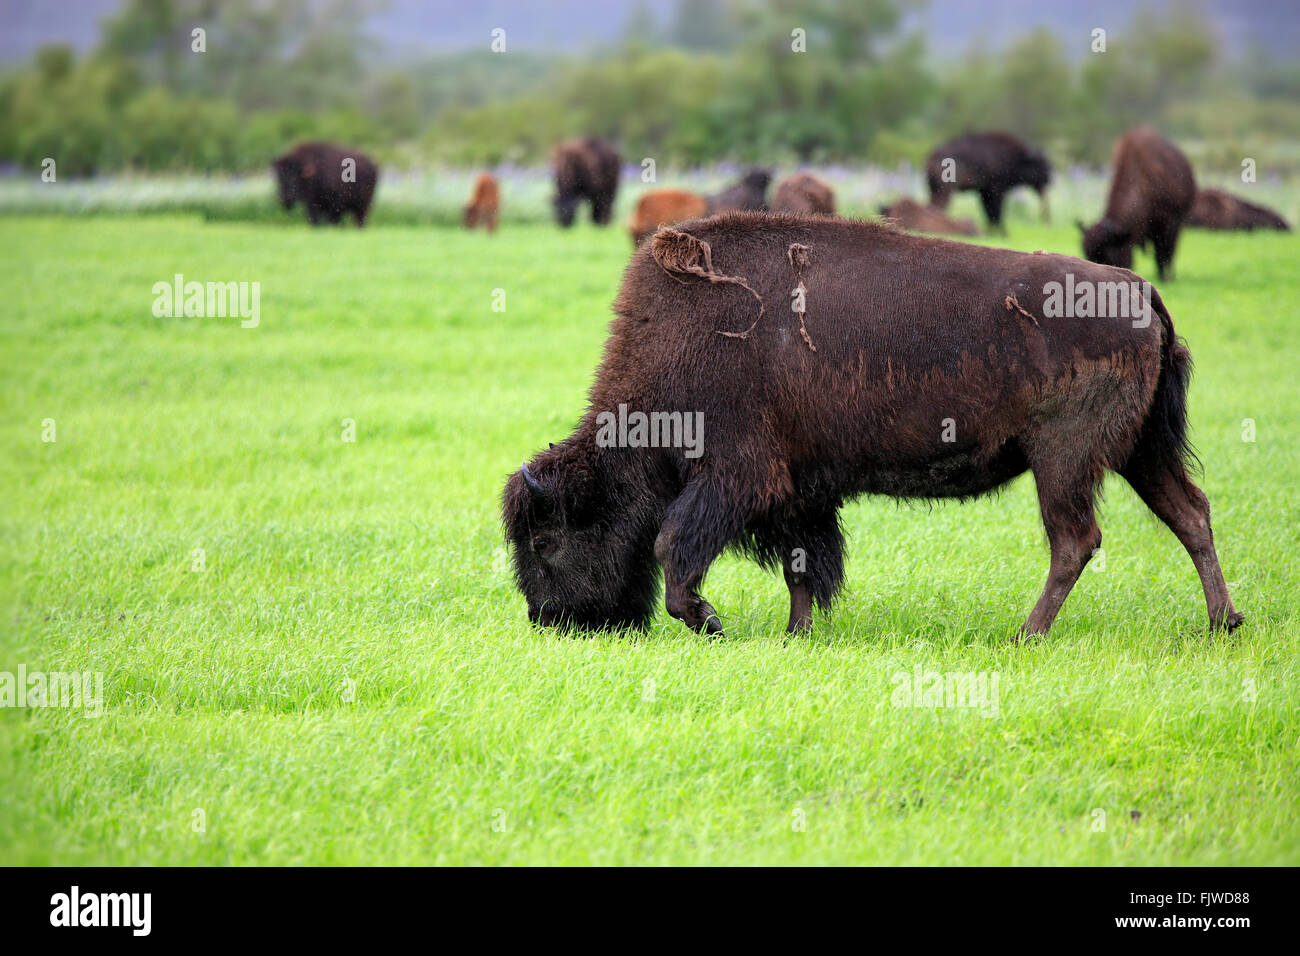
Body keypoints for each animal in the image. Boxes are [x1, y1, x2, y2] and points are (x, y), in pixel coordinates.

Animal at [501, 213, 1242, 639]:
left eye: (546, 541)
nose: (552, 623)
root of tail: (1142, 291)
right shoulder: (797, 490)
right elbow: (802, 565)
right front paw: (797, 634)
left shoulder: (735, 477)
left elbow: (673, 547)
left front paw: (711, 623)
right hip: (1140, 451)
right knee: (1190, 514)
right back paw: (1222, 623)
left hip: (1063, 458)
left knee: (1075, 540)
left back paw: (1026, 634)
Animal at [925, 132, 1055, 232]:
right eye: (1042, 164)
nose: (1050, 180)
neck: (1017, 158)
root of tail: (932, 157)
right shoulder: (996, 190)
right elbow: (997, 210)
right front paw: (1003, 233)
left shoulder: (984, 191)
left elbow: (988, 211)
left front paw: (992, 231)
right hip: (946, 189)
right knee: (938, 205)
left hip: (935, 189)